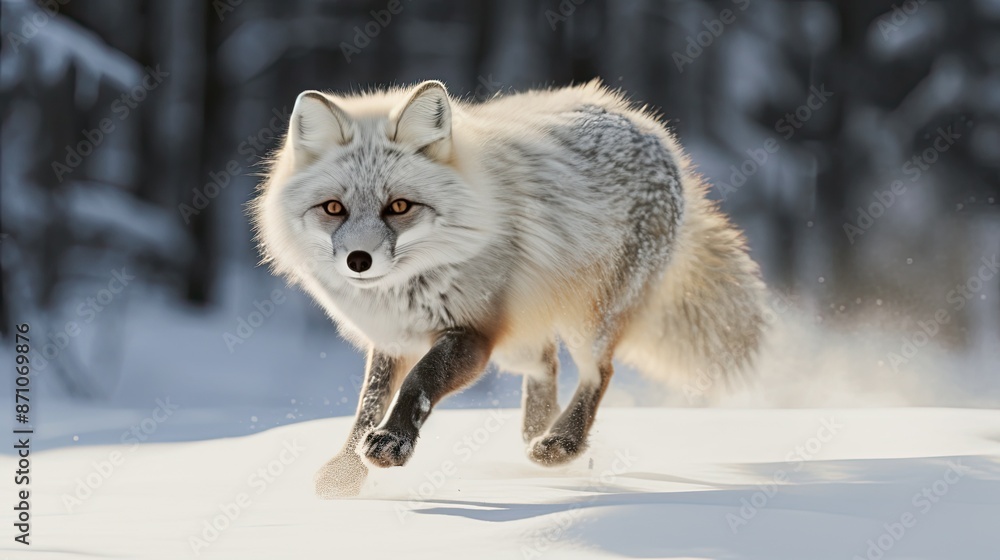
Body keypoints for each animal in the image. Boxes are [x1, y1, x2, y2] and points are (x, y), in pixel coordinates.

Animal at [251, 79, 765, 498]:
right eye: (333, 208)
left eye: (398, 206)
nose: (359, 261)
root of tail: (648, 126)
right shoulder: (394, 338)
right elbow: (368, 403)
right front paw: (345, 472)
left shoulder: (474, 331)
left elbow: (419, 382)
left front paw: (392, 443)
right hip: (521, 340)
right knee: (547, 363)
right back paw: (539, 434)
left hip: (589, 322)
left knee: (599, 372)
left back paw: (561, 443)